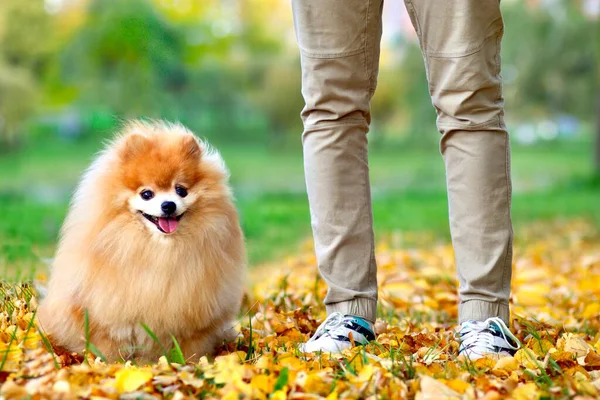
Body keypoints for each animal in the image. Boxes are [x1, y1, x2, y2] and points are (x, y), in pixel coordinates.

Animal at [37, 120, 246, 360]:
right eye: (147, 194)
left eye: (181, 190)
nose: (168, 205)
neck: (159, 251)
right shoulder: (107, 317)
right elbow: (110, 346)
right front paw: (112, 364)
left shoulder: (195, 321)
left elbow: (191, 348)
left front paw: (188, 363)